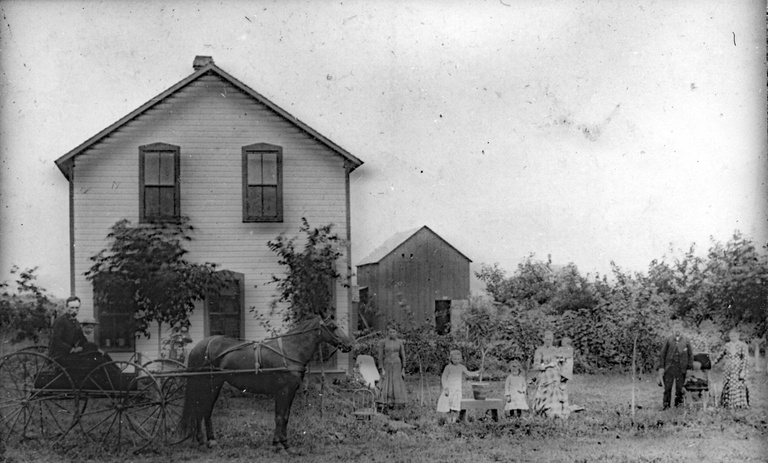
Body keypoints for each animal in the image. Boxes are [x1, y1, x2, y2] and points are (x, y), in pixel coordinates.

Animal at [177, 316, 352, 454]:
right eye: (333, 326)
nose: (349, 345)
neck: (290, 350)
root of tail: (199, 347)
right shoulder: (283, 392)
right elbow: (280, 417)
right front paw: (280, 446)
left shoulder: (289, 392)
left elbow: (284, 417)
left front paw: (283, 444)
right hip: (209, 384)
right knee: (203, 410)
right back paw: (208, 441)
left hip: (212, 384)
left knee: (202, 410)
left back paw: (205, 441)